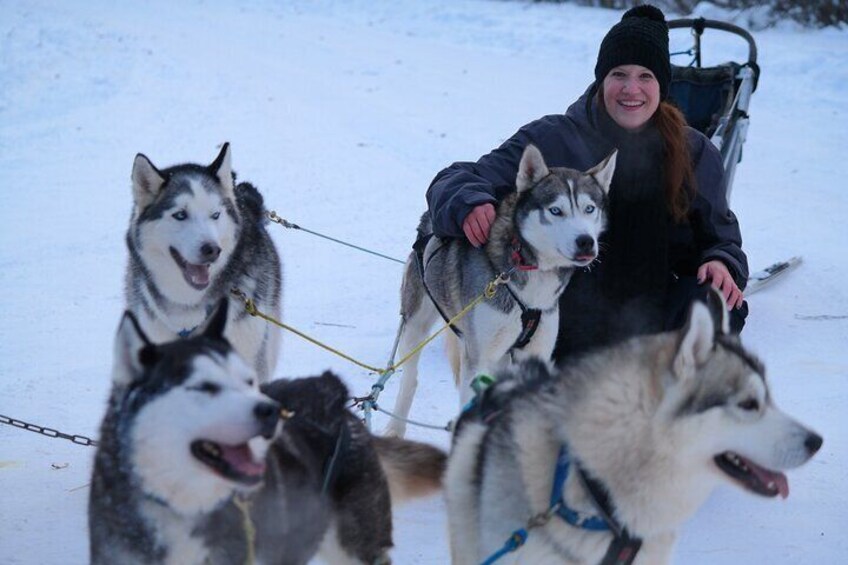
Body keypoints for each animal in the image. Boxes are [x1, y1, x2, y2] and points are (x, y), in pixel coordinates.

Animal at [386, 144, 616, 436]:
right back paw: (395, 428)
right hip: (415, 327)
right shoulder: (477, 358)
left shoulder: (537, 352)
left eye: (589, 209)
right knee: (410, 379)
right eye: (556, 210)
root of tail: (429, 221)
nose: (586, 242)